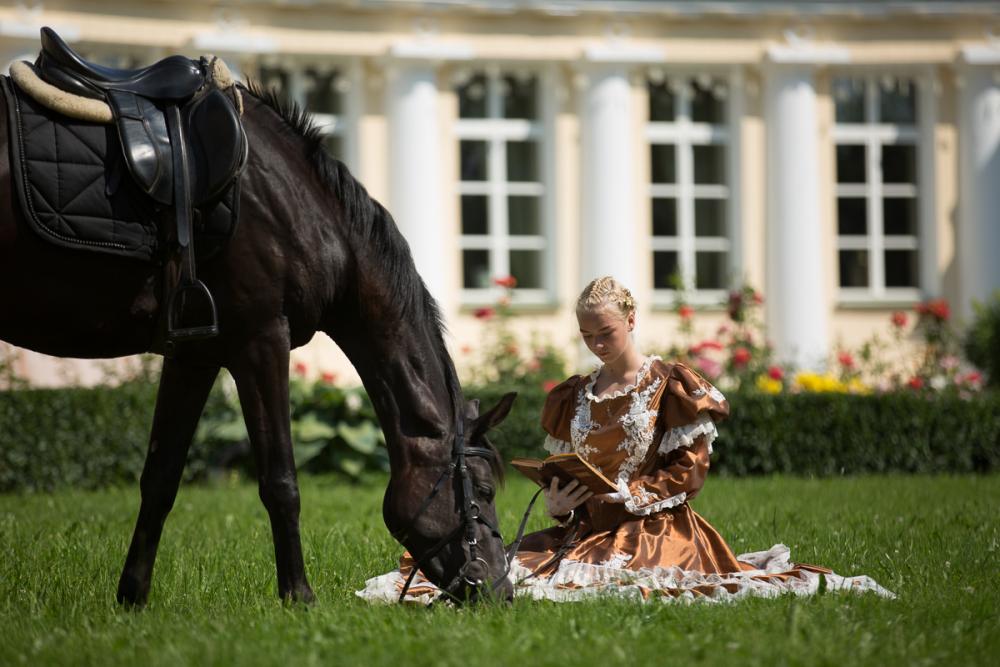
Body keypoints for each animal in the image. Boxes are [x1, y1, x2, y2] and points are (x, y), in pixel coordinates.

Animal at [0, 76, 516, 605]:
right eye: (485, 492)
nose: (501, 588)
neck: (301, 205)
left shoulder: (194, 356)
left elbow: (160, 479)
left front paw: (132, 597)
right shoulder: (261, 340)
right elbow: (280, 480)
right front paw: (299, 596)